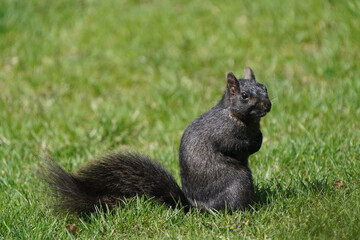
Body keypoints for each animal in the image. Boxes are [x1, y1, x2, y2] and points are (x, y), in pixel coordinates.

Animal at [43, 67, 272, 214]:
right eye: (244, 96)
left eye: (265, 87)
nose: (268, 105)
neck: (236, 116)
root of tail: (197, 208)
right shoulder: (221, 133)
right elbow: (233, 145)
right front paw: (254, 143)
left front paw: (260, 138)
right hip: (239, 182)